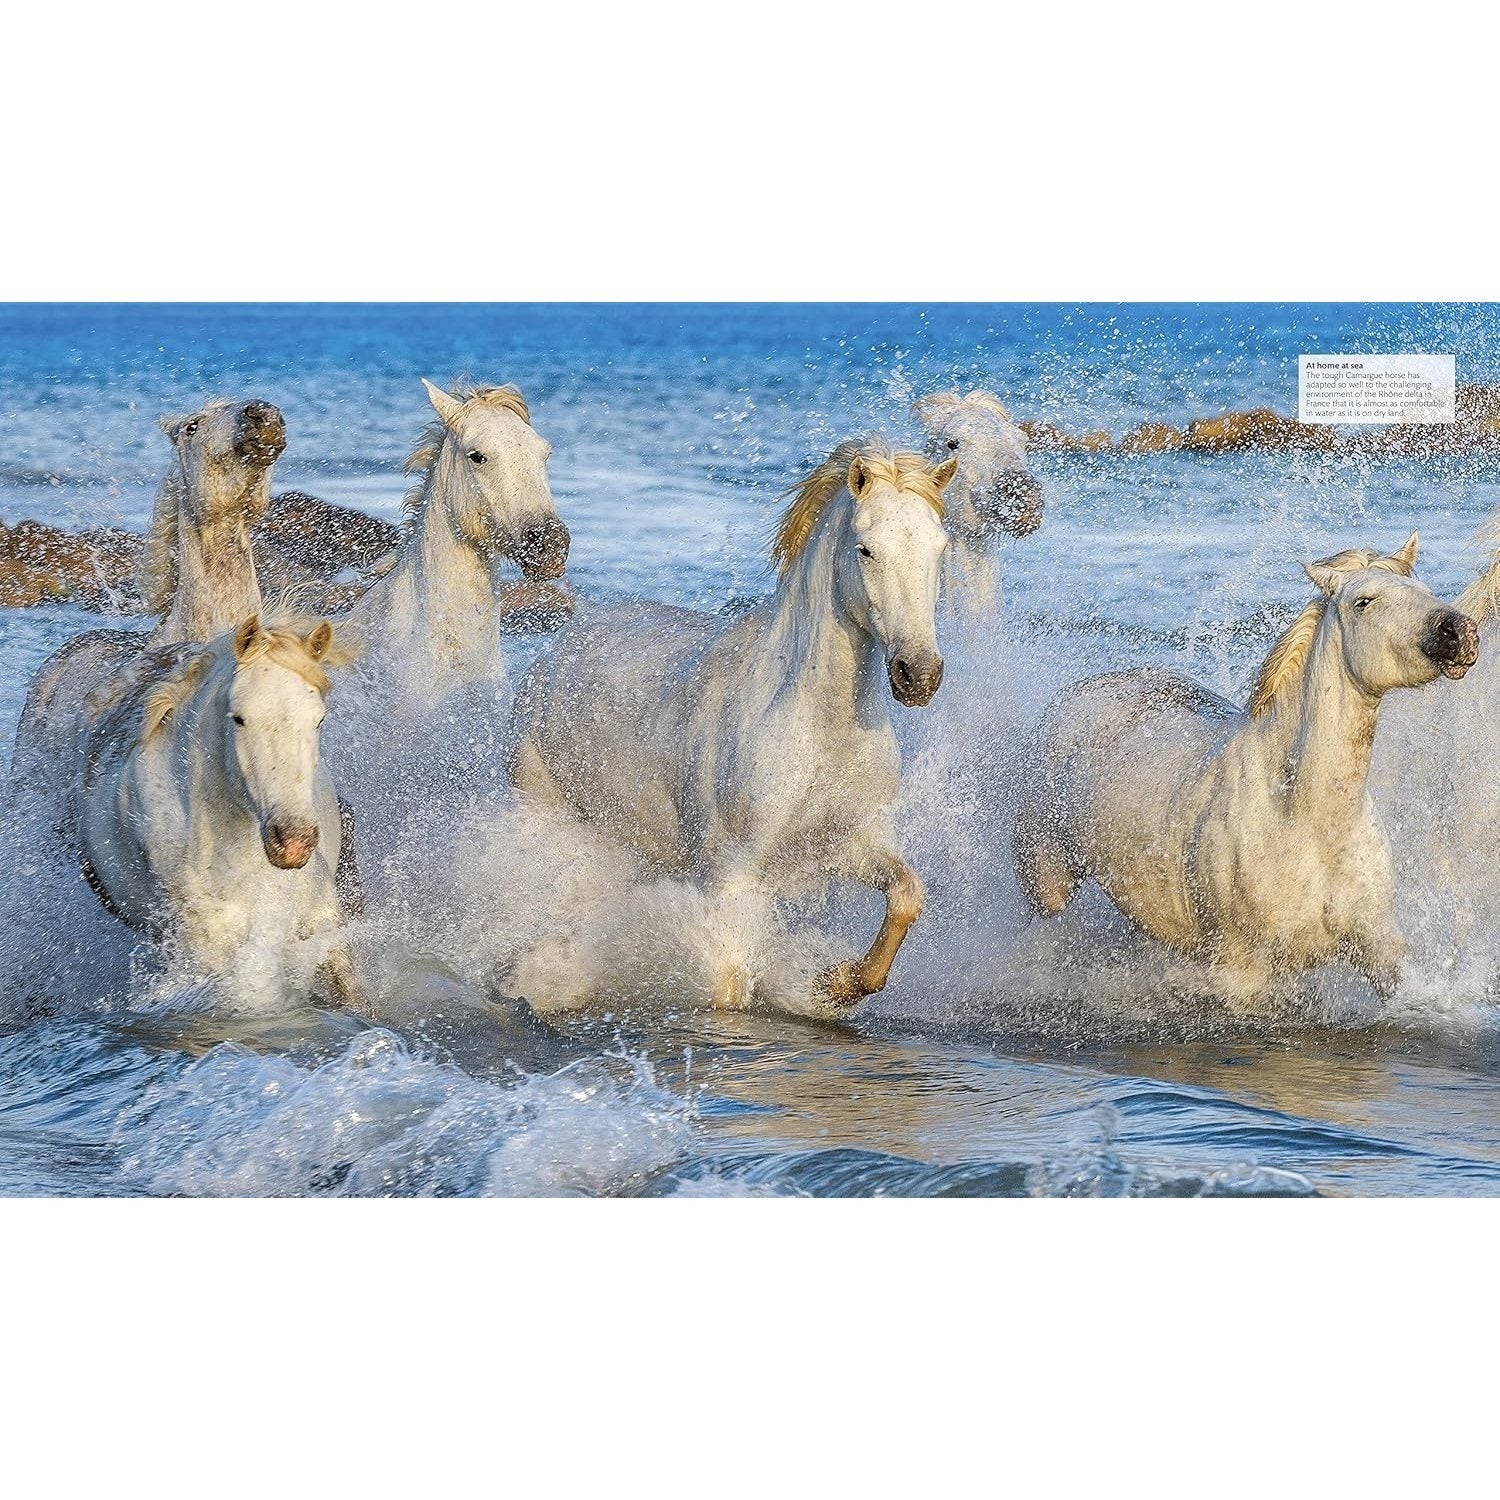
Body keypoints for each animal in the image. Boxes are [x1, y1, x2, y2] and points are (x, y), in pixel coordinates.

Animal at [508, 436, 957, 1011]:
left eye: (940, 549)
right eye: (866, 549)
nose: (918, 675)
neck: (818, 730)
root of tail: (566, 641)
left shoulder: (852, 843)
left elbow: (905, 896)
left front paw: (835, 981)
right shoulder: (731, 875)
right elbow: (726, 981)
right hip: (546, 813)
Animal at [1013, 534, 1479, 1005]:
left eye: (1423, 590)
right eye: (1363, 601)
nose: (1460, 632)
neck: (1303, 817)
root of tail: (1079, 693)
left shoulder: (1379, 948)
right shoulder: (1243, 973)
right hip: (1047, 883)